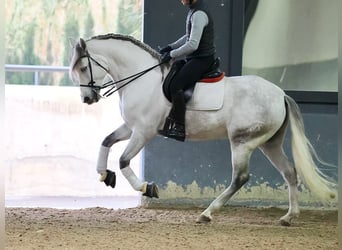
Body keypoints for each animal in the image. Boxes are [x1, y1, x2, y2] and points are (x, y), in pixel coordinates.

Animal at [68, 33, 336, 227]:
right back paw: (289, 217)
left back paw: (207, 213)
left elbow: (124, 160)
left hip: (242, 142)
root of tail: (281, 94)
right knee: (289, 172)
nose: (87, 99)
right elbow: (105, 141)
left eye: (83, 68)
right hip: (269, 143)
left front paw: (147, 188)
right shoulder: (130, 127)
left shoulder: (144, 131)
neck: (142, 80)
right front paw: (104, 174)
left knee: (240, 178)